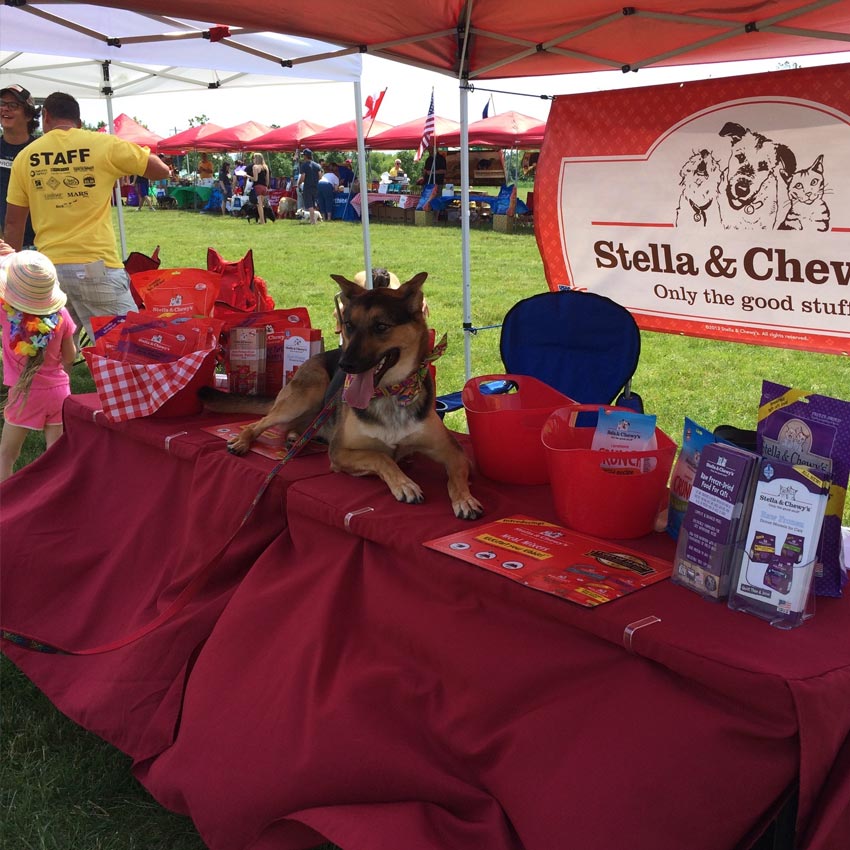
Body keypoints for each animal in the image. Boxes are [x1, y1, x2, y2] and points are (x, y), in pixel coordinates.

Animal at [197, 274, 476, 520]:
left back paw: (296, 437)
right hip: (307, 392)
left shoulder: (453, 451)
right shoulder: (340, 452)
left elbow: (457, 475)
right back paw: (244, 441)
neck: (391, 393)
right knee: (260, 423)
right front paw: (405, 484)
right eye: (349, 325)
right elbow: (382, 456)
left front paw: (465, 499)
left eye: (381, 326)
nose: (345, 365)